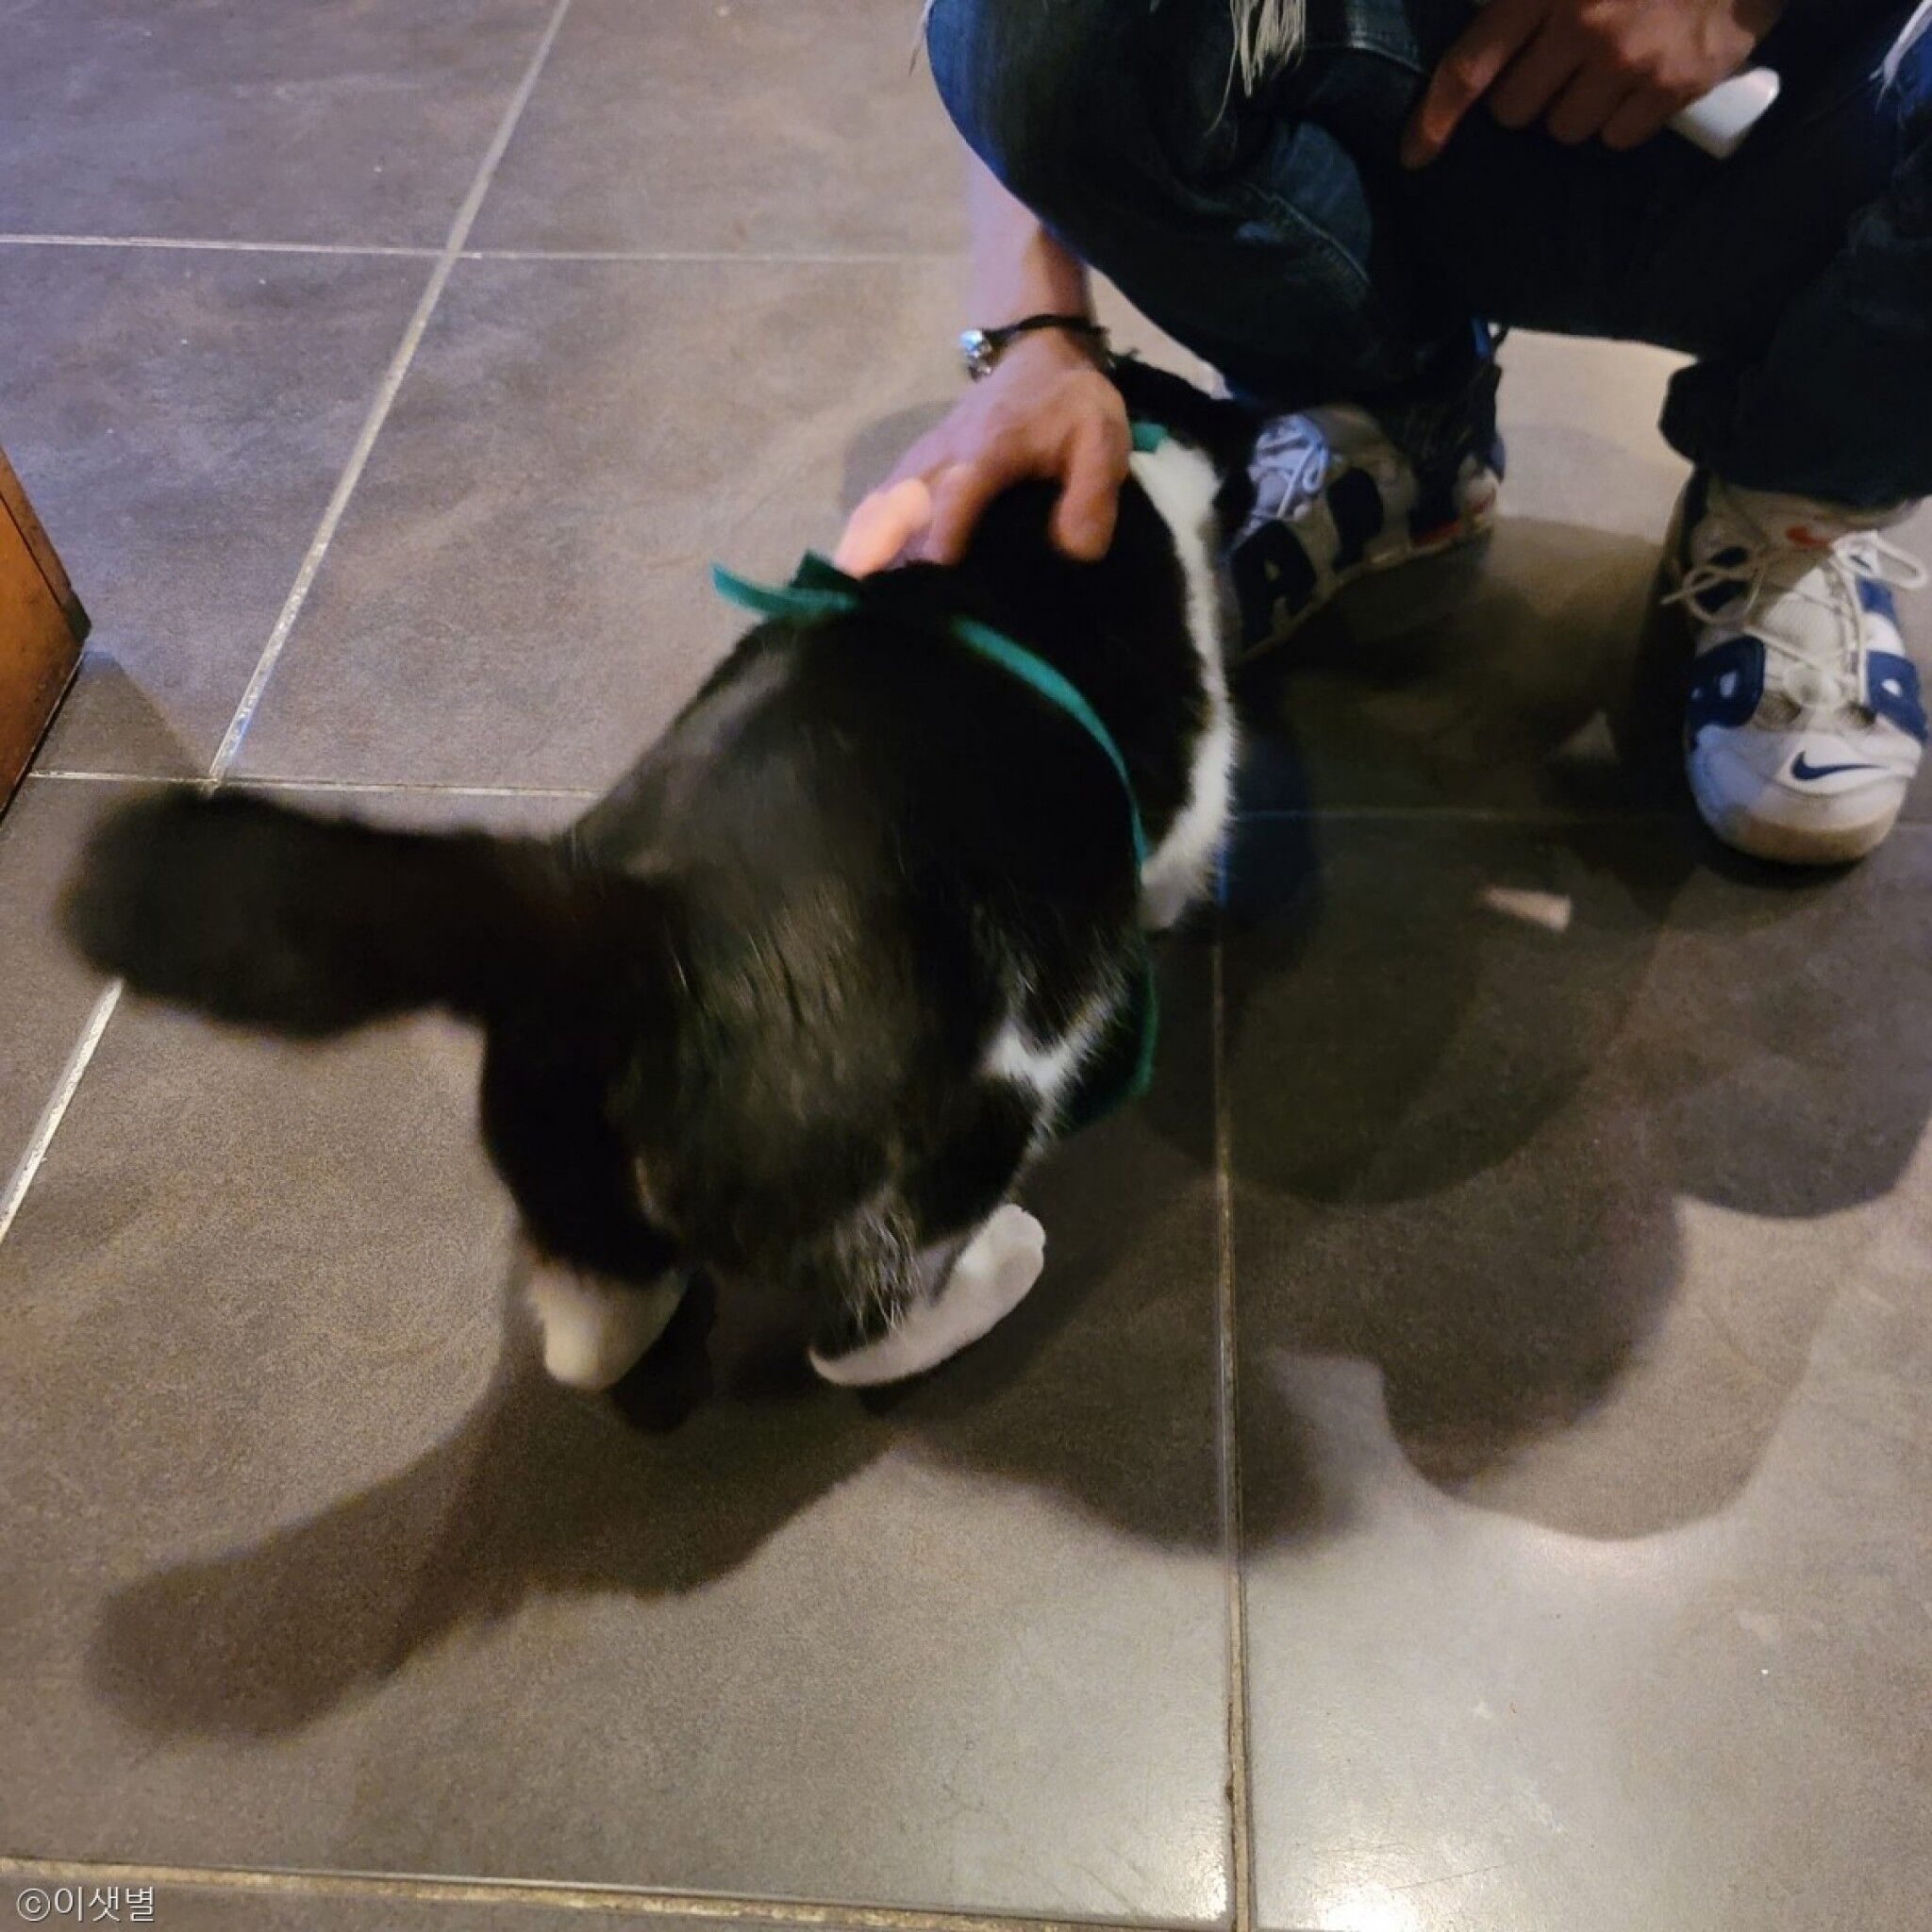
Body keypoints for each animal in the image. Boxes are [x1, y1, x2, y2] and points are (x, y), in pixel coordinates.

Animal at [61, 360, 1256, 1394]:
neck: (1038, 522)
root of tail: (613, 924)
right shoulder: (1194, 771)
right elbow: (1186, 836)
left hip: (559, 1165)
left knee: (587, 1335)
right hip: (954, 1132)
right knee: (855, 1339)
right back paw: (1000, 1268)